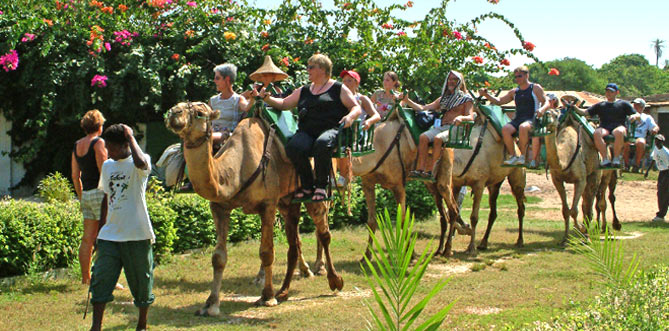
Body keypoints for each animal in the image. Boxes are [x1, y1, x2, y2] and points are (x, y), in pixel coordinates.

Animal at [161, 102, 340, 316]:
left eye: (199, 112)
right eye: (178, 107)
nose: (174, 113)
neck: (236, 169)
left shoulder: (268, 204)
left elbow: (267, 252)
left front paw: (267, 297)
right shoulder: (220, 207)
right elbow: (218, 257)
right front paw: (210, 304)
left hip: (316, 193)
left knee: (324, 233)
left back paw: (332, 279)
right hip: (288, 201)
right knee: (294, 242)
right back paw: (284, 290)